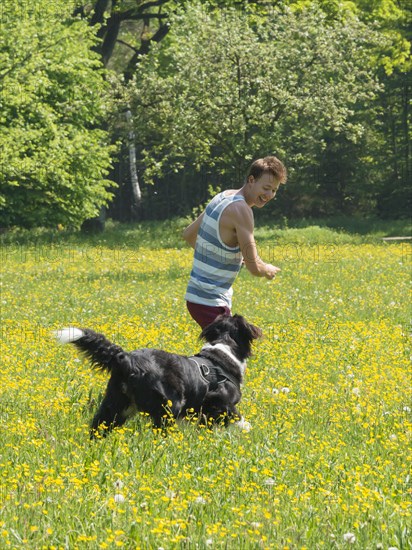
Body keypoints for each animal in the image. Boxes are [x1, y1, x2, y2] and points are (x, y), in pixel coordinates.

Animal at [54, 314, 260, 440]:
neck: (223, 352)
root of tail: (126, 358)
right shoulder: (221, 402)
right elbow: (242, 421)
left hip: (115, 405)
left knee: (98, 427)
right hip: (169, 406)